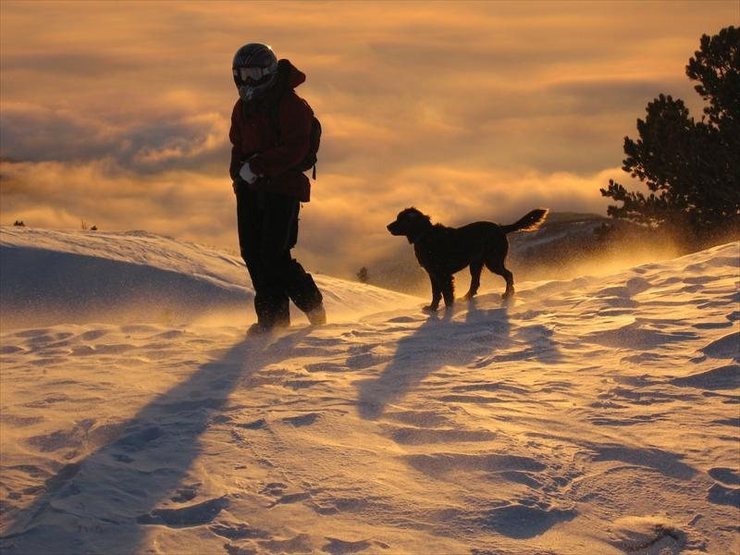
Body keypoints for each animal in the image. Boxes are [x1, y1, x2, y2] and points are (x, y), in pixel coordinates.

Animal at [388, 208, 548, 312]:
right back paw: (467, 297)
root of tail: (500, 228)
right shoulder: (433, 273)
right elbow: (435, 293)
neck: (425, 236)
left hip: (493, 261)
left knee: (508, 274)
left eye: (401, 220)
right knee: (476, 282)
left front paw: (448, 312)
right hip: (476, 263)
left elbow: (446, 294)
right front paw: (432, 308)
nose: (387, 226)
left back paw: (508, 294)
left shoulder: (442, 274)